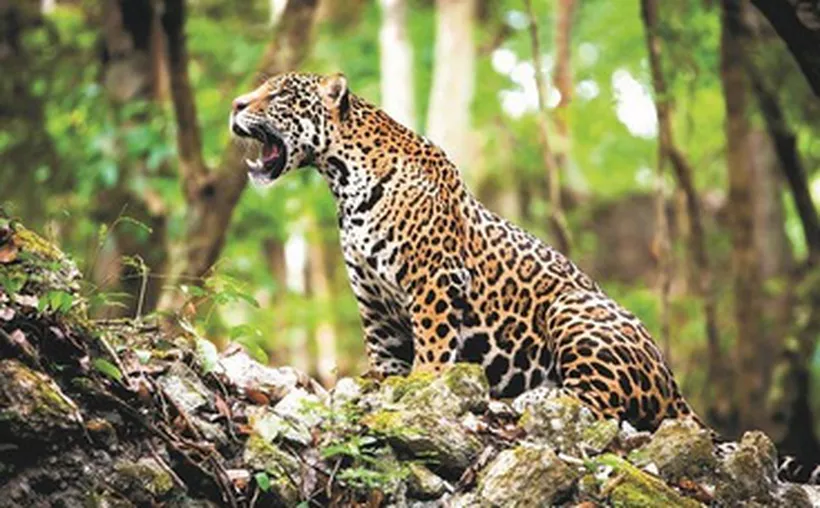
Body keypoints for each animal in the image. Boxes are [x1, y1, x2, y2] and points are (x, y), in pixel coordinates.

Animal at [228, 71, 696, 433]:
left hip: (575, 309)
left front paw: (422, 385)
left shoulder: (434, 279)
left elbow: (433, 346)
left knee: (602, 407)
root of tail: (675, 386)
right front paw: (378, 383)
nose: (235, 104)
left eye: (279, 94)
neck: (343, 181)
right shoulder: (373, 301)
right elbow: (382, 353)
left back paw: (525, 401)